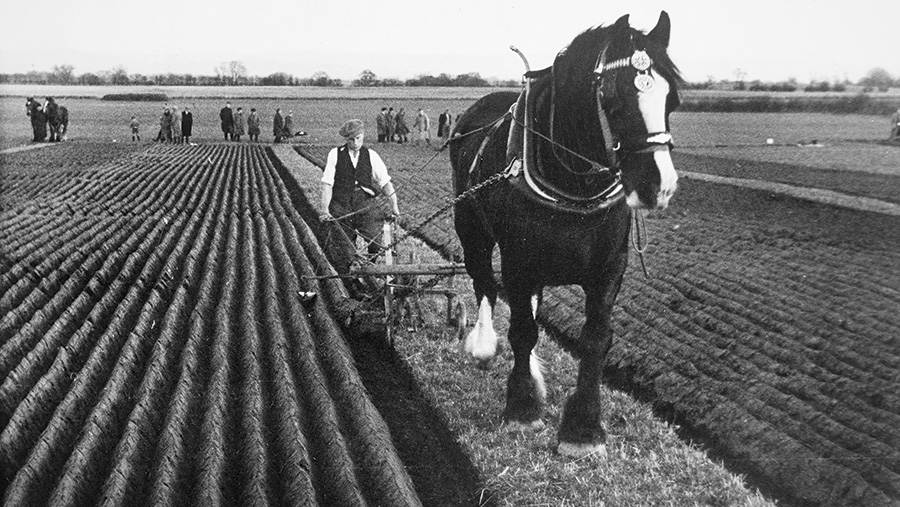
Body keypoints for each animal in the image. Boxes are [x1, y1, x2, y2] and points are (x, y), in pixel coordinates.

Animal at [450, 11, 684, 458]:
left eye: (673, 100)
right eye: (613, 100)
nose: (658, 186)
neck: (571, 182)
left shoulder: (608, 270)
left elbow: (594, 339)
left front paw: (582, 429)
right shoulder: (519, 263)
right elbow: (522, 329)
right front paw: (522, 408)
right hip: (471, 229)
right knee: (483, 281)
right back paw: (483, 345)